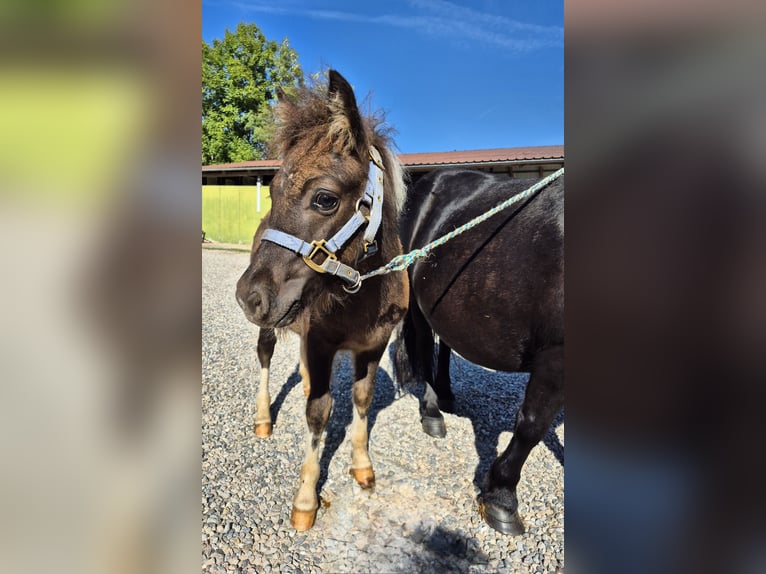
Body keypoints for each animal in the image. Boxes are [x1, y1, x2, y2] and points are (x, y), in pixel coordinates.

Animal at [235, 70, 408, 531]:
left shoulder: (373, 345)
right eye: (272, 190)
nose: (247, 297)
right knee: (265, 356)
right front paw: (305, 499)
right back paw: (263, 418)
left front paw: (363, 466)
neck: (361, 295)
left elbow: (361, 400)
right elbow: (319, 414)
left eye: (325, 198)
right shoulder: (320, 342)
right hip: (271, 327)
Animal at [393, 167, 564, 535]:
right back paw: (433, 412)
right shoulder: (555, 356)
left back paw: (445, 394)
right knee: (425, 349)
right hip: (417, 302)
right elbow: (532, 426)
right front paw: (502, 498)